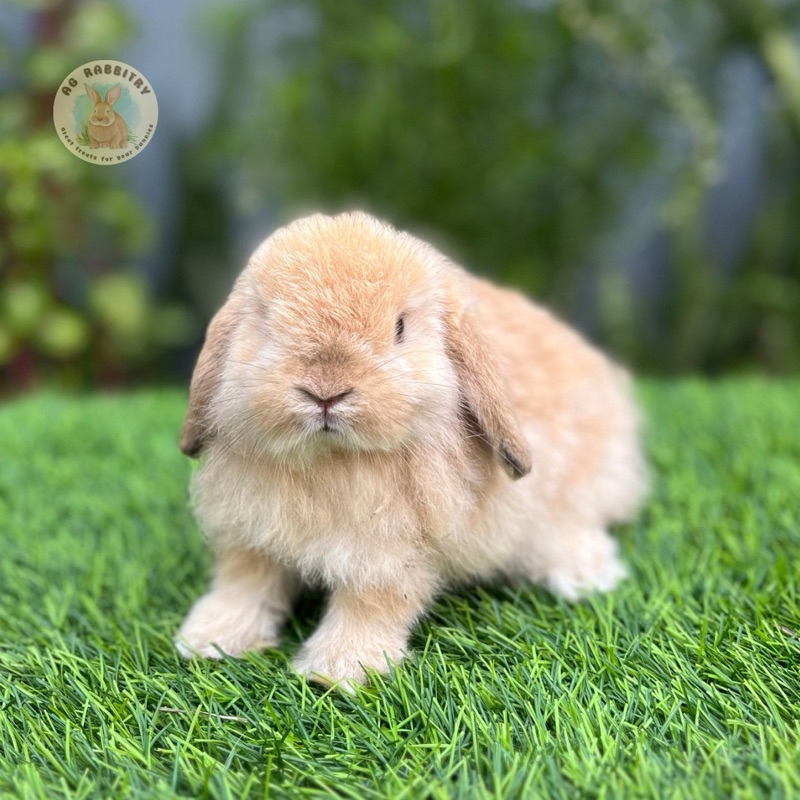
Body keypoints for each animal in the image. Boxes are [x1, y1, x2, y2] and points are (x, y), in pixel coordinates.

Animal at [177, 211, 648, 688]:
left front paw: (338, 670)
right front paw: (208, 640)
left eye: (400, 327)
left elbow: (368, 605)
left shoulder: (388, 556)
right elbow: (245, 584)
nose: (325, 390)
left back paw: (588, 575)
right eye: (266, 324)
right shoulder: (253, 536)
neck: (332, 460)